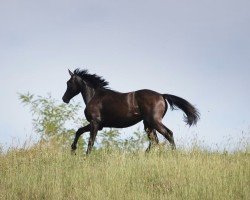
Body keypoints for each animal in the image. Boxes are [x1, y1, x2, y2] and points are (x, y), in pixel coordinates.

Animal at [62, 68, 199, 154]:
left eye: (68, 83)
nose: (64, 99)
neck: (95, 96)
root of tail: (162, 95)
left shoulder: (95, 123)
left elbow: (90, 141)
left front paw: (85, 156)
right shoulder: (98, 125)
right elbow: (79, 131)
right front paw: (73, 150)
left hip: (154, 121)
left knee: (168, 134)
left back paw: (174, 154)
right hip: (148, 124)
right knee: (154, 141)